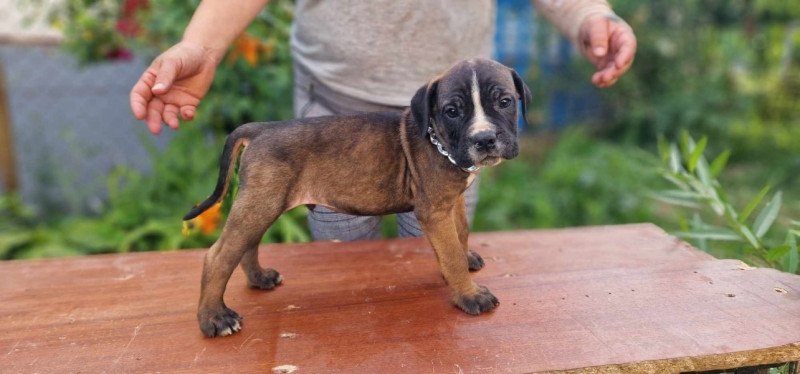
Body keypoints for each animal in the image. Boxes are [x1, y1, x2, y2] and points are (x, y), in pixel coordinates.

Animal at [187, 59, 532, 338]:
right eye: (452, 111)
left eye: (504, 102)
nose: (484, 139)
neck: (438, 138)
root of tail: (260, 129)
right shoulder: (434, 211)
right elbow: (450, 254)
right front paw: (469, 294)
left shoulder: (452, 200)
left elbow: (460, 232)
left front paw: (466, 257)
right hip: (261, 204)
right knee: (218, 256)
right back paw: (214, 319)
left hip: (261, 203)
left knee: (247, 244)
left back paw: (259, 278)